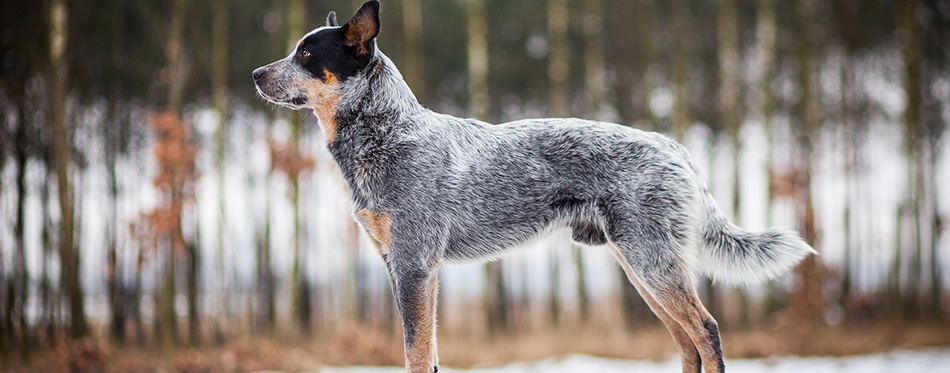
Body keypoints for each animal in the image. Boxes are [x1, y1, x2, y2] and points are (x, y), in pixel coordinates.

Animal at [255, 1, 820, 370]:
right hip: (642, 266)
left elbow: (415, 351)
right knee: (686, 342)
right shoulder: (401, 264)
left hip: (651, 262)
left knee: (706, 331)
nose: (257, 73)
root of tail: (674, 146)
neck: (387, 132)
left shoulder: (414, 264)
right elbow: (425, 352)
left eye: (306, 54)